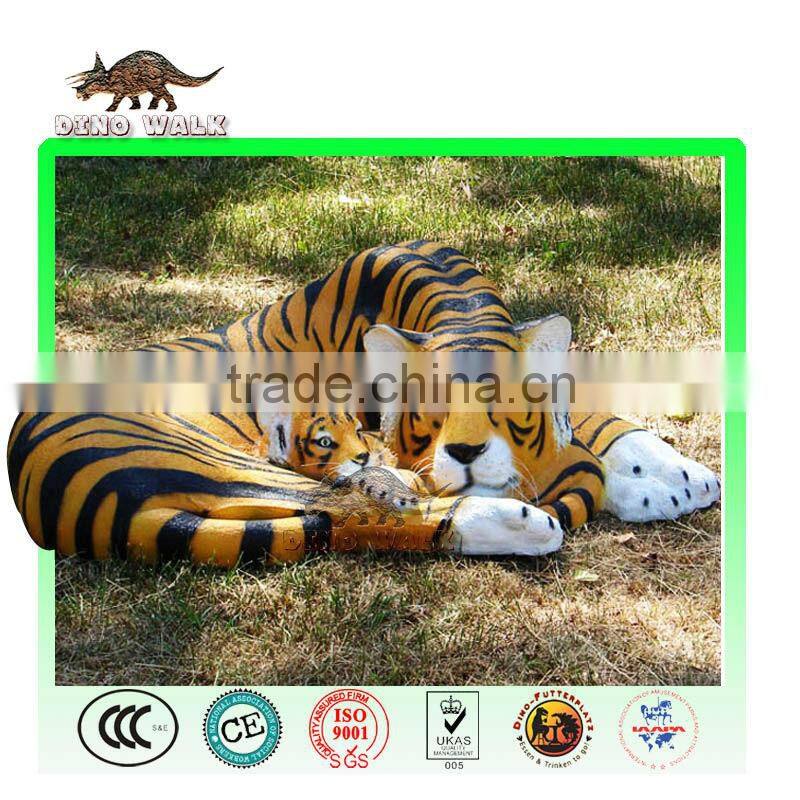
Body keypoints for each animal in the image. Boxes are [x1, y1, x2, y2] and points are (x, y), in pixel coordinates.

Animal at [7, 241, 720, 567]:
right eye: (433, 406)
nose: (466, 452)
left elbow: (594, 413)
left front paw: (674, 475)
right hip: (214, 456)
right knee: (352, 506)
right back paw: (515, 521)